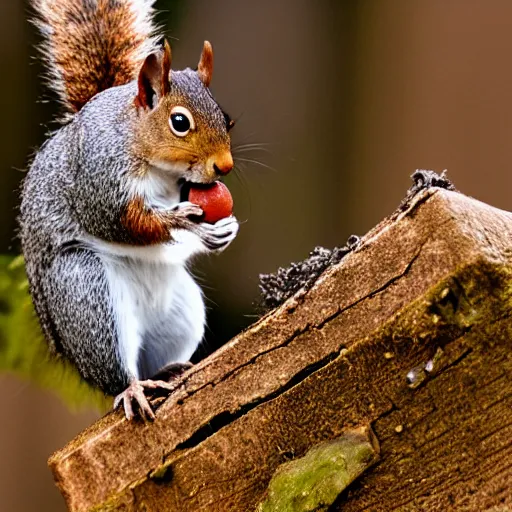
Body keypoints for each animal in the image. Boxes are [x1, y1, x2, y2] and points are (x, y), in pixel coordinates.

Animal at [20, 0, 240, 418]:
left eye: (227, 119)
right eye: (180, 122)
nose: (224, 166)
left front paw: (224, 229)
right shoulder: (98, 180)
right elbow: (125, 223)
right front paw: (181, 220)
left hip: (181, 312)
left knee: (151, 358)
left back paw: (169, 369)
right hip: (86, 294)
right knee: (117, 372)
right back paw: (133, 389)